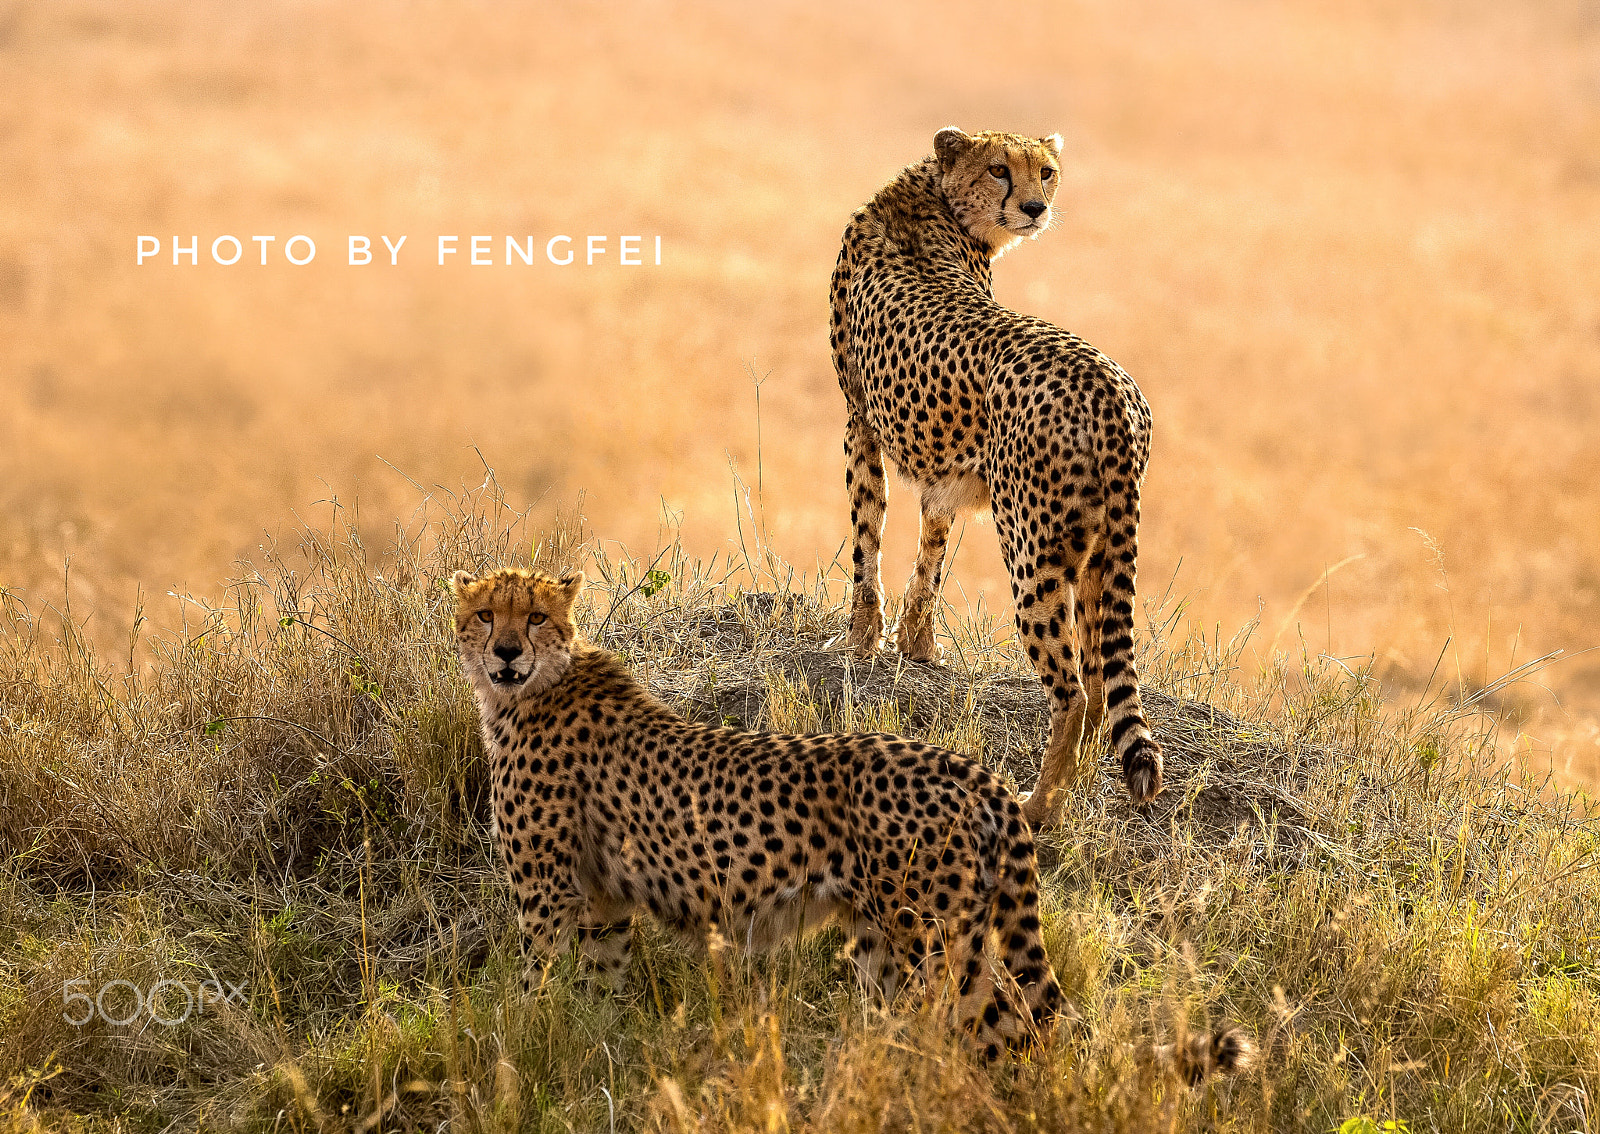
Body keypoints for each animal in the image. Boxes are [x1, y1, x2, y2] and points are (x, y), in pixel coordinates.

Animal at [450, 566, 1250, 1075]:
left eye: (536, 617)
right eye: (486, 614)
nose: (507, 651)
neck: (534, 688)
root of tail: (972, 769)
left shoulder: (547, 895)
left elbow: (533, 984)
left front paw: (524, 1041)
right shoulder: (604, 903)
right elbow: (597, 987)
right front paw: (589, 1041)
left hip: (929, 941)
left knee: (992, 1025)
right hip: (894, 944)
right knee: (1000, 1025)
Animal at [830, 125, 1164, 829]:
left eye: (1046, 171)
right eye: (999, 169)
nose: (1036, 208)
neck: (935, 197)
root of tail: (1111, 387)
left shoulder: (858, 423)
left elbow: (867, 540)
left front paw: (861, 640)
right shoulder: (944, 467)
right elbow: (930, 549)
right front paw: (915, 644)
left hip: (1034, 550)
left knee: (1073, 691)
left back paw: (1036, 808)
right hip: (1098, 549)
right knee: (1101, 681)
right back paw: (1073, 790)